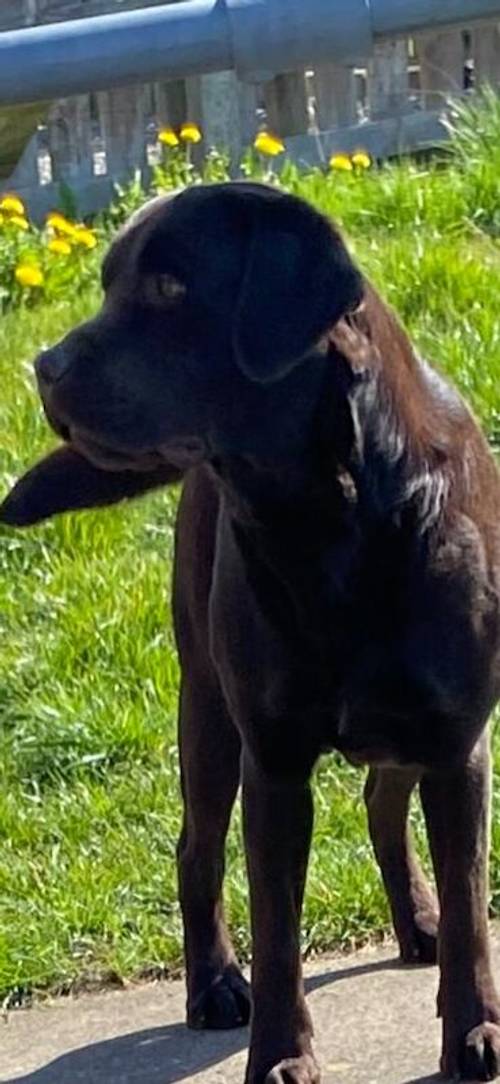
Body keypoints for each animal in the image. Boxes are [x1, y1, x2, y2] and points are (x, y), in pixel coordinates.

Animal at [2, 182, 498, 1079]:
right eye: (107, 284)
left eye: (168, 287)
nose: (44, 367)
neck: (332, 518)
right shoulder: (274, 763)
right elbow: (276, 935)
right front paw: (278, 1054)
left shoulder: (456, 741)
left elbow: (472, 907)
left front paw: (474, 1030)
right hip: (206, 707)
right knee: (196, 849)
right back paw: (212, 986)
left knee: (381, 800)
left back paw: (417, 921)